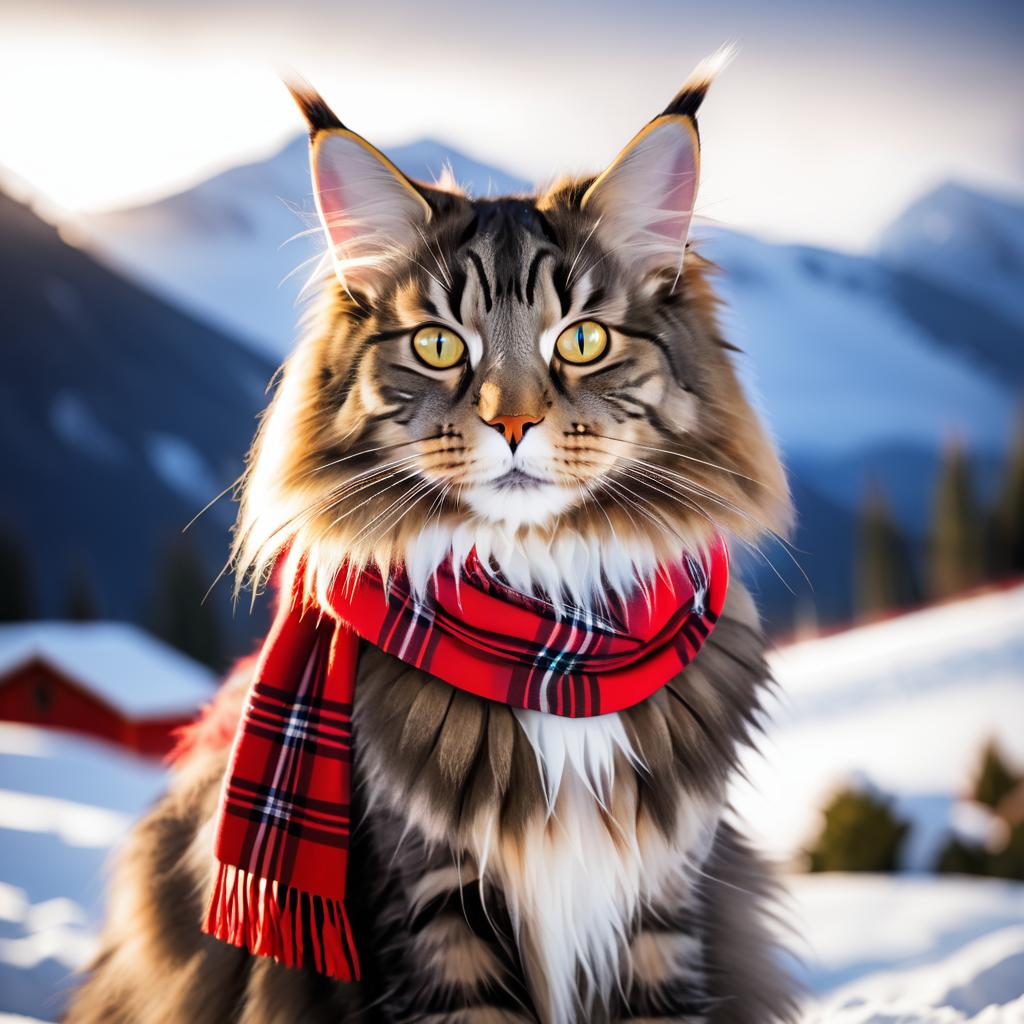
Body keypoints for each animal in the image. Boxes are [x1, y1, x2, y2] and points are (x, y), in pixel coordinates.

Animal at [70, 54, 798, 1024]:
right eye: (439, 345)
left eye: (584, 339)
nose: (514, 422)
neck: (554, 648)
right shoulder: (429, 906)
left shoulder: (664, 901)